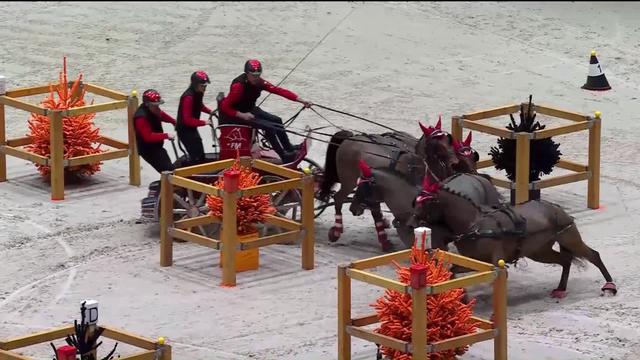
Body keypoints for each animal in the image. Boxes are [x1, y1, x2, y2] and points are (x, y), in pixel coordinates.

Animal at [412, 126, 616, 298]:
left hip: (569, 238)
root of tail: (555, 208)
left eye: (425, 202)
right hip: (539, 250)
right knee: (565, 260)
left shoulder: (495, 262)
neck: (474, 224)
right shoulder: (472, 260)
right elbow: (452, 271)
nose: (413, 221)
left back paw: (609, 285)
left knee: (592, 255)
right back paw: (560, 288)